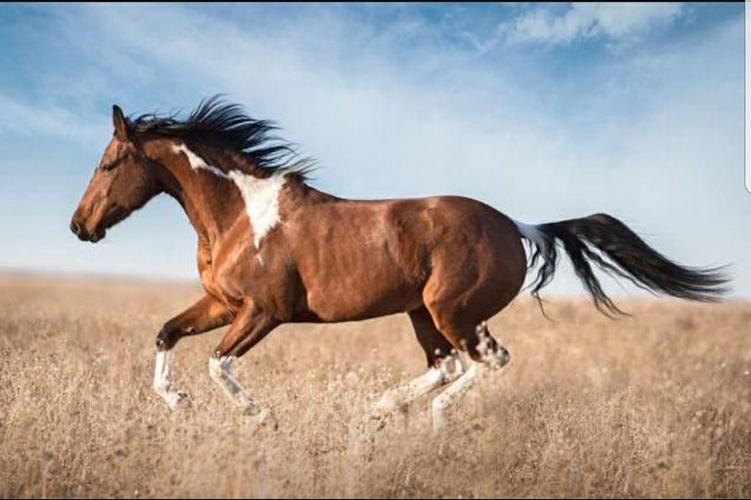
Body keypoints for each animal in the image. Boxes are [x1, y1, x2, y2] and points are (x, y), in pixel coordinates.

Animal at [70, 97, 729, 429]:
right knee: (447, 364)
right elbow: (166, 333)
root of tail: (518, 226)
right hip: (421, 314)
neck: (239, 213)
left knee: (485, 361)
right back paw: (382, 408)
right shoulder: (222, 303)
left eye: (108, 163)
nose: (80, 227)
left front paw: (258, 416)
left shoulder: (263, 310)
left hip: (451, 310)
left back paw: (426, 418)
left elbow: (217, 362)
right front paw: (176, 402)